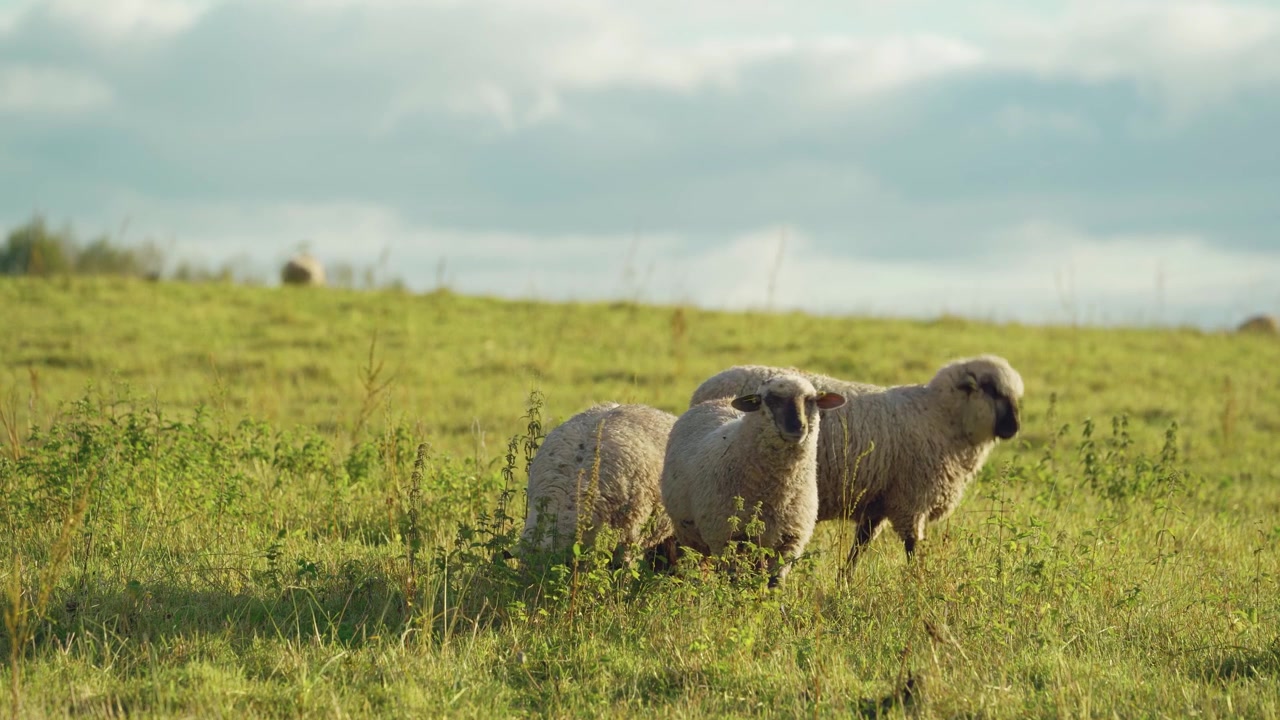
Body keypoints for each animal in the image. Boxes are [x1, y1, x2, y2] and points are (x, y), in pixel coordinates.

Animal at [661, 374, 847, 586]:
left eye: (810, 400)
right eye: (771, 400)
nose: (797, 427)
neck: (777, 494)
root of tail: (719, 401)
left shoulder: (789, 542)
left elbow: (774, 583)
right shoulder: (726, 537)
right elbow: (733, 581)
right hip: (690, 535)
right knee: (698, 564)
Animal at [689, 355, 1024, 570]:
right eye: (992, 390)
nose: (1014, 428)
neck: (941, 416)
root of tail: (701, 391)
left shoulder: (876, 503)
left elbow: (859, 549)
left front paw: (845, 583)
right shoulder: (911, 500)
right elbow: (912, 549)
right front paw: (917, 587)